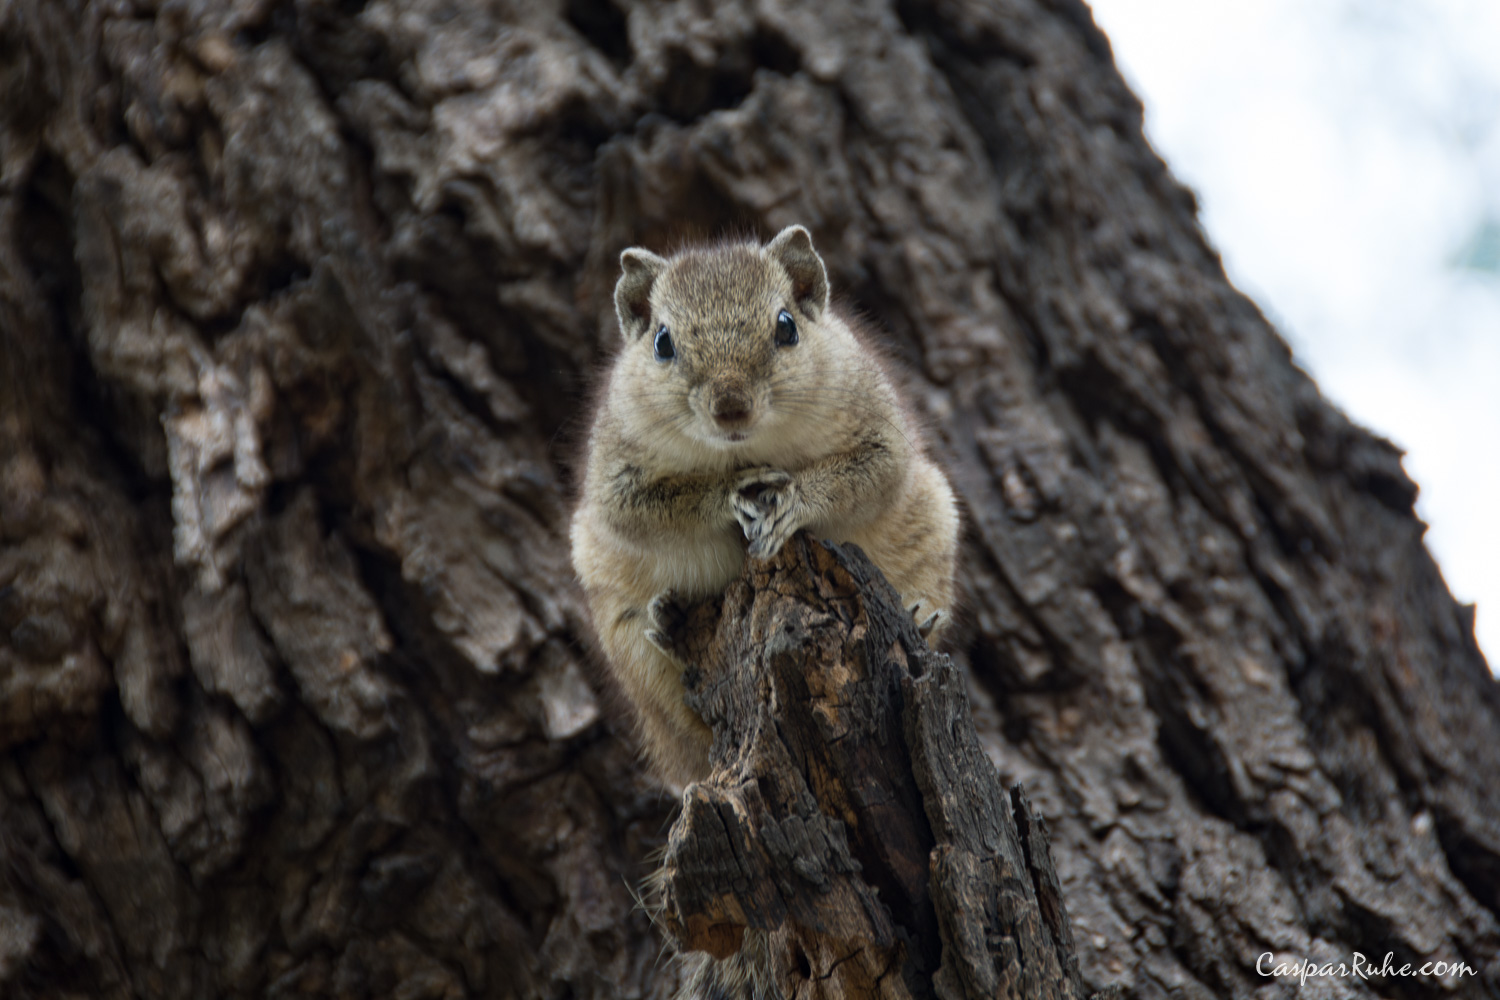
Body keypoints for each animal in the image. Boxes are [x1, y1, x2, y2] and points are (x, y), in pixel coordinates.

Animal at [570, 225, 958, 790]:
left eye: (786, 327)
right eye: (663, 343)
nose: (731, 407)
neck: (745, 448)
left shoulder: (878, 426)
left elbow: (869, 475)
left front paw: (791, 501)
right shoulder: (612, 475)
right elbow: (641, 510)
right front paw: (731, 496)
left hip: (933, 514)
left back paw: (921, 614)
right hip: (625, 645)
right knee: (686, 720)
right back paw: (668, 625)